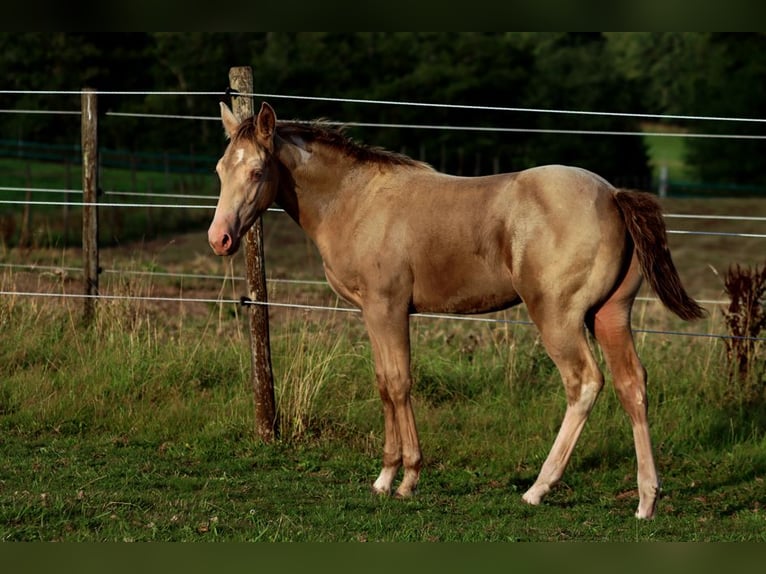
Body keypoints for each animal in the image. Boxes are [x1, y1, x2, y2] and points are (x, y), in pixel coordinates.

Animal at [208, 101, 705, 519]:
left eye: (257, 170)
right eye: (219, 169)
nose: (220, 239)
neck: (356, 199)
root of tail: (613, 194)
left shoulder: (387, 308)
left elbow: (399, 383)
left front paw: (406, 479)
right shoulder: (373, 313)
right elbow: (383, 383)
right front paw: (384, 477)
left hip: (558, 318)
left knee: (584, 383)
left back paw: (538, 488)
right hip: (609, 315)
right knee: (631, 384)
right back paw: (646, 500)